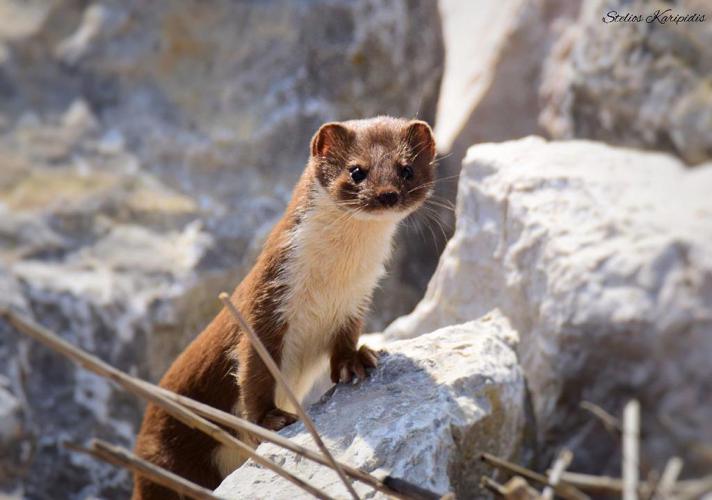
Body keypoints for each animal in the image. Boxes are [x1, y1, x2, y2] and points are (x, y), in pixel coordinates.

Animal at [132, 116, 434, 496]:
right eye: (356, 171)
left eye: (407, 169)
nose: (388, 194)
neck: (331, 284)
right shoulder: (267, 302)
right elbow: (253, 371)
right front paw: (269, 419)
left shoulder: (357, 300)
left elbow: (346, 339)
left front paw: (356, 360)